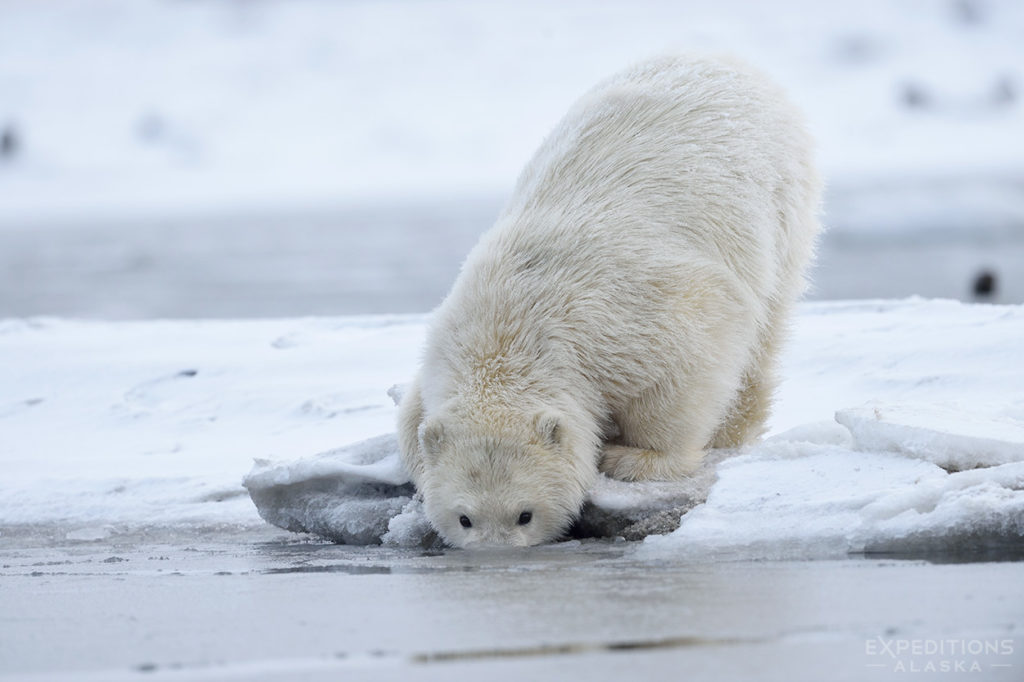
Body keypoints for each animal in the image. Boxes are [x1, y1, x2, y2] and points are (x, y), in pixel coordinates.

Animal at [395, 54, 819, 548]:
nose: (496, 553)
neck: (506, 326)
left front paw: (631, 458)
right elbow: (411, 422)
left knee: (765, 325)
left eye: (524, 515)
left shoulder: (628, 318)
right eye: (465, 518)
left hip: (782, 198)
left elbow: (691, 358)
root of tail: (726, 61)